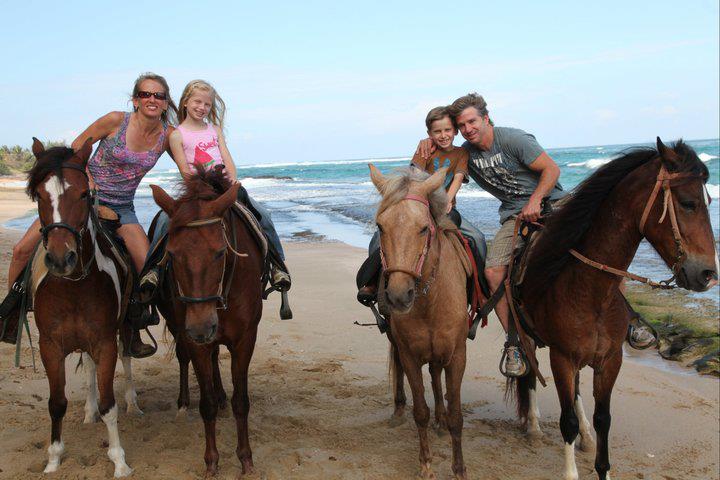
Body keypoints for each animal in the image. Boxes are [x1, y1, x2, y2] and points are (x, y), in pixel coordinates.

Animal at [25, 138, 143, 477]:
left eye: (82, 194)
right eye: (39, 195)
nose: (60, 259)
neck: (73, 287)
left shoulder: (104, 342)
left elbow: (109, 404)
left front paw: (119, 461)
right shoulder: (50, 346)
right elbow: (56, 403)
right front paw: (53, 459)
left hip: (123, 327)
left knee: (127, 356)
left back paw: (133, 403)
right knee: (88, 369)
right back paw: (89, 412)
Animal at [150, 168, 264, 477]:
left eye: (220, 252)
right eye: (172, 254)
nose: (201, 328)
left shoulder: (245, 339)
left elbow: (241, 402)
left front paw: (246, 460)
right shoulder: (194, 340)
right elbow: (207, 403)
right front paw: (212, 462)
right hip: (180, 327)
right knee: (184, 358)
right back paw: (182, 403)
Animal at [369, 164, 473, 479]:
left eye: (424, 228)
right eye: (380, 227)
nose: (398, 296)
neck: (430, 300)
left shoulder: (457, 356)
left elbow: (456, 415)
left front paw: (459, 468)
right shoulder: (410, 355)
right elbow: (420, 412)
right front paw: (426, 464)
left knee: (437, 376)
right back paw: (401, 410)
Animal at [512, 138, 718, 480]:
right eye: (688, 203)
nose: (708, 275)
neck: (591, 293)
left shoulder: (610, 360)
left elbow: (603, 418)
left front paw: (600, 460)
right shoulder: (561, 357)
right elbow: (566, 420)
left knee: (576, 393)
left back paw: (584, 436)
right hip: (524, 334)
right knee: (528, 373)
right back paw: (533, 426)